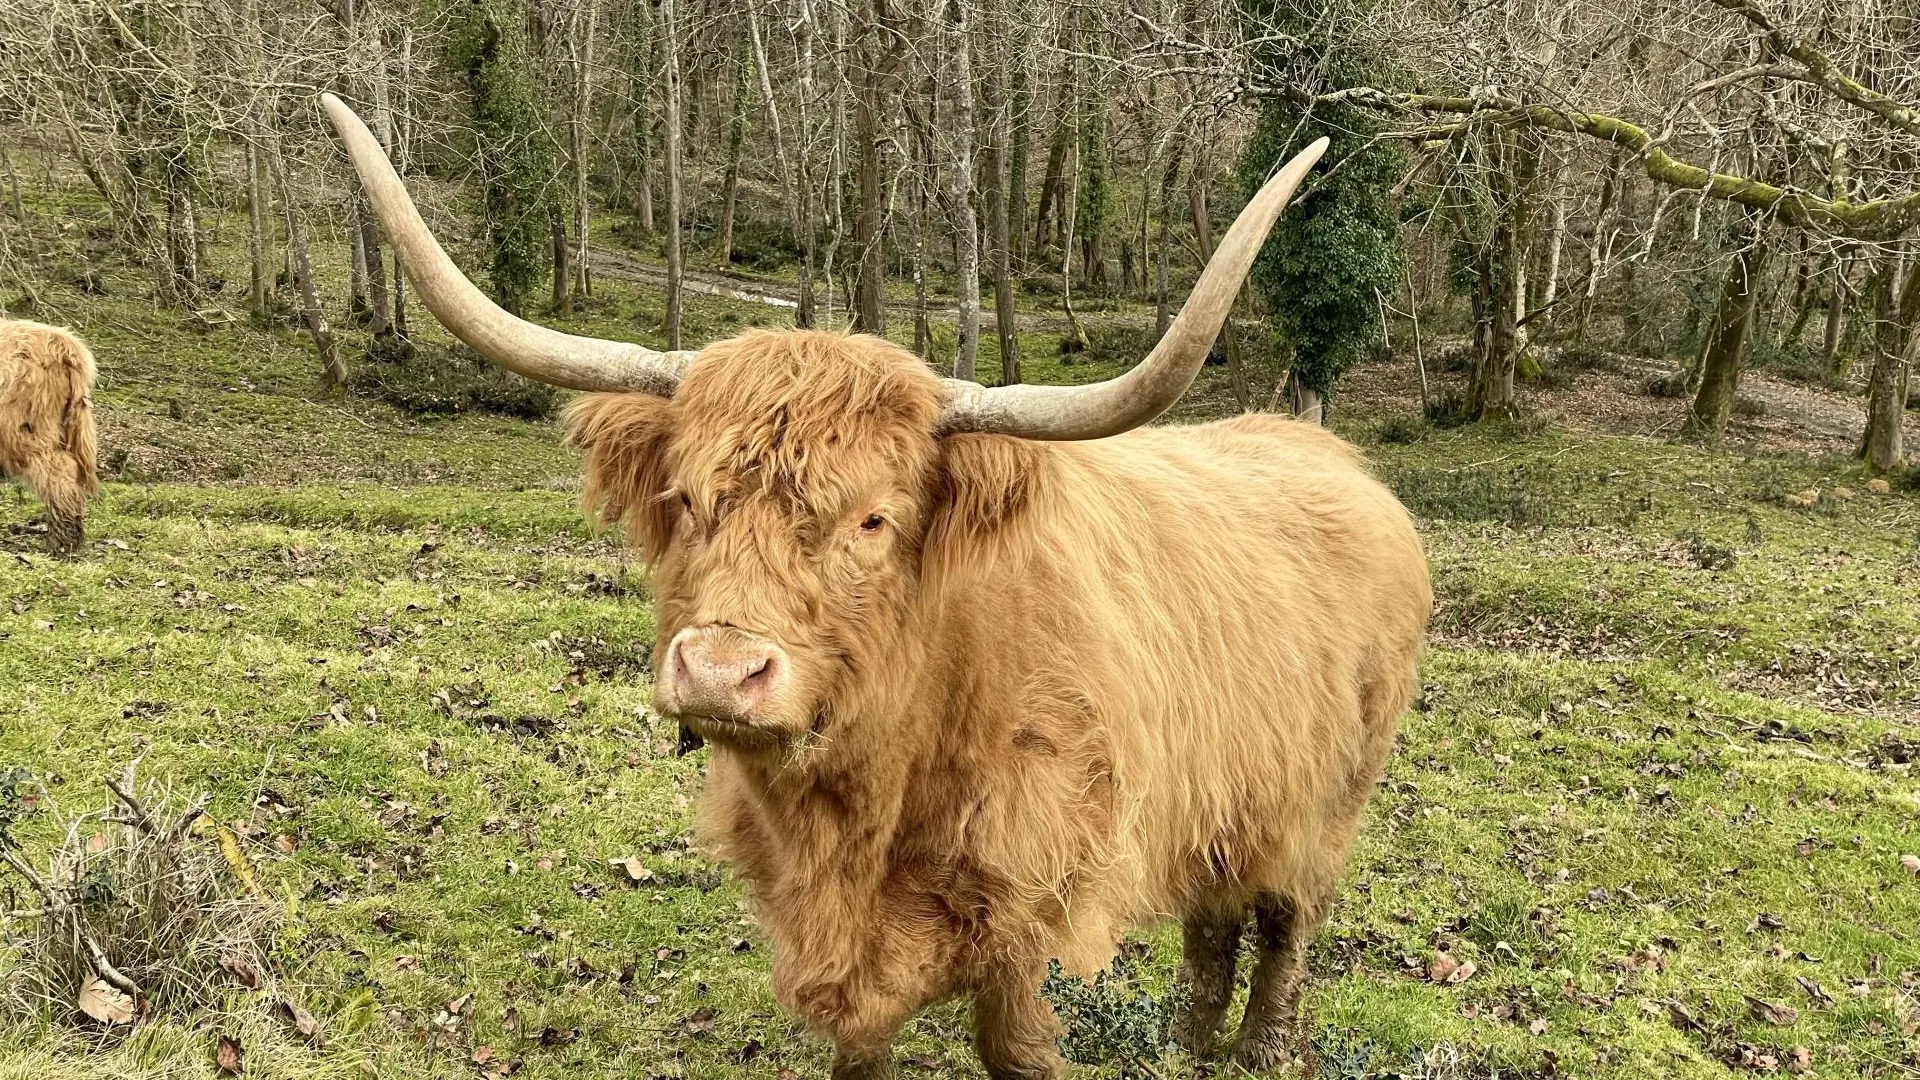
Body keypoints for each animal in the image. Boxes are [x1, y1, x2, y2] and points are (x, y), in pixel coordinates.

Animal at [326, 94, 1428, 1076]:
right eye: (685, 499)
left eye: (873, 519)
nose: (719, 672)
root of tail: (1336, 459)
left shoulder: (1043, 918)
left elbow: (1022, 1049)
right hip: (1228, 796)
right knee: (1215, 913)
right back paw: (1188, 1042)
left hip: (1332, 800)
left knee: (1286, 918)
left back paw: (1261, 1048)